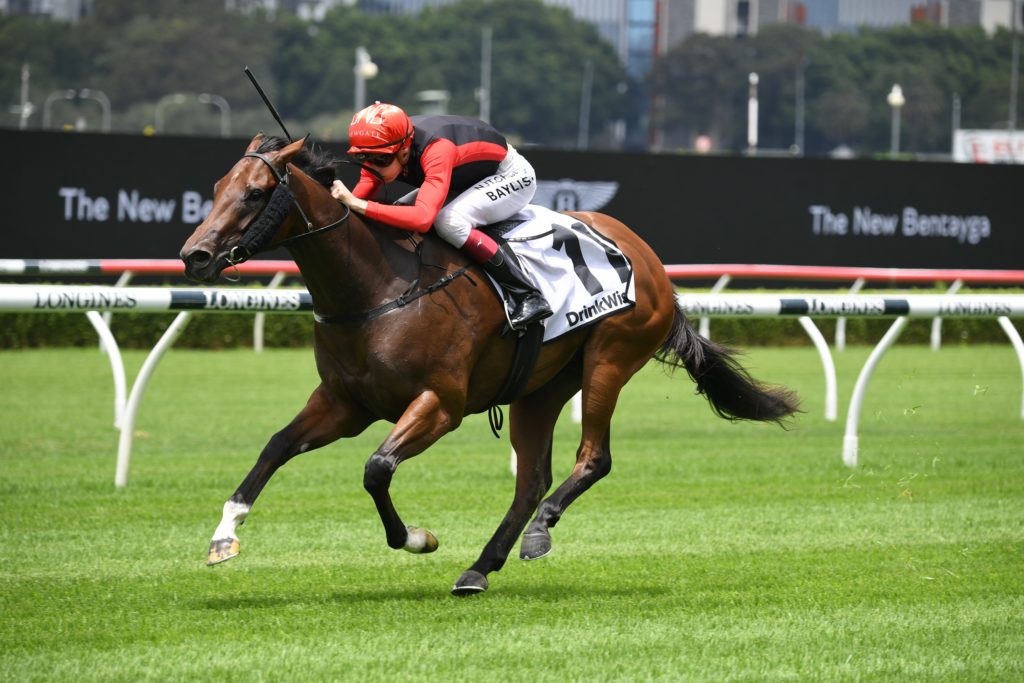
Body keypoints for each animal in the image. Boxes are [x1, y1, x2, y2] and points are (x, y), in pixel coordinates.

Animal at [180, 133, 798, 595]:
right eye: (216, 188)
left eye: (256, 193)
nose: (195, 255)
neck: (378, 288)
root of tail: (648, 258)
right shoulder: (343, 403)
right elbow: (276, 446)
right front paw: (223, 535)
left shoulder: (440, 404)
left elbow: (376, 469)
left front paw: (418, 538)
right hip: (539, 388)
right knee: (531, 479)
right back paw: (481, 567)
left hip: (610, 358)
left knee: (591, 459)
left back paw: (539, 530)